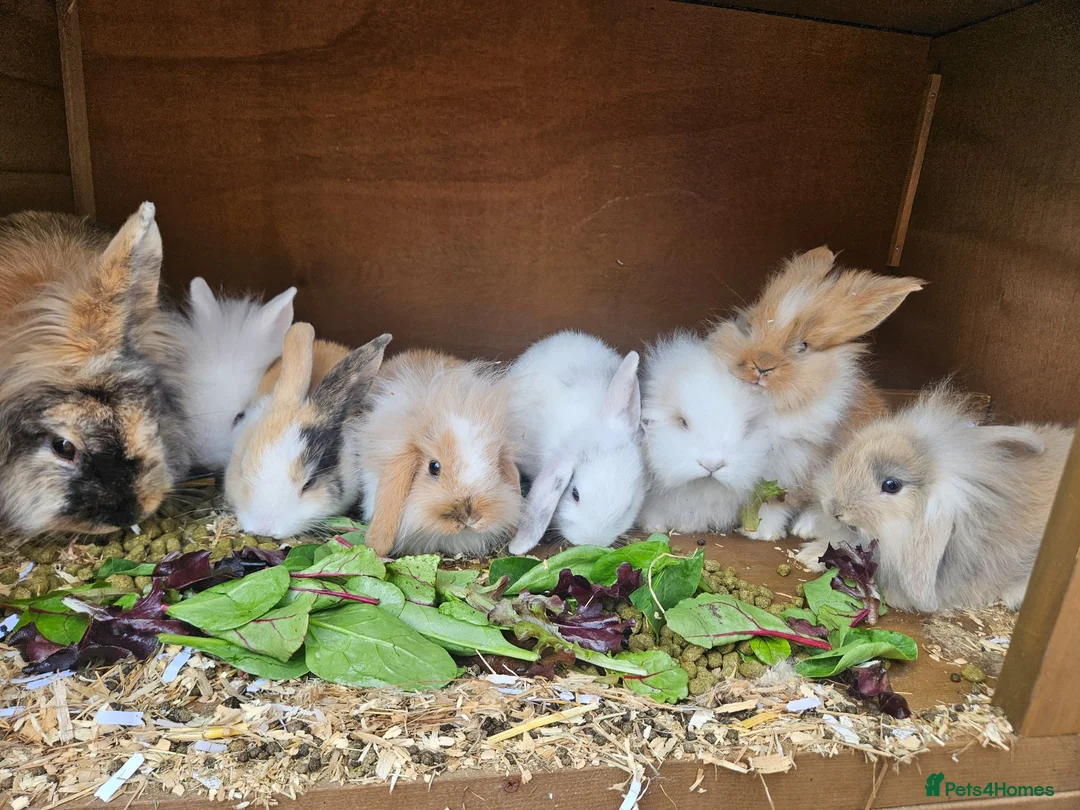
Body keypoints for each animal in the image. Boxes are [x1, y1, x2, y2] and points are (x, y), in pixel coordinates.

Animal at [708, 246, 924, 541]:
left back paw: (805, 529)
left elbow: (776, 501)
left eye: (803, 346)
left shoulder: (794, 467)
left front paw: (761, 533)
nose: (760, 367)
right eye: (748, 327)